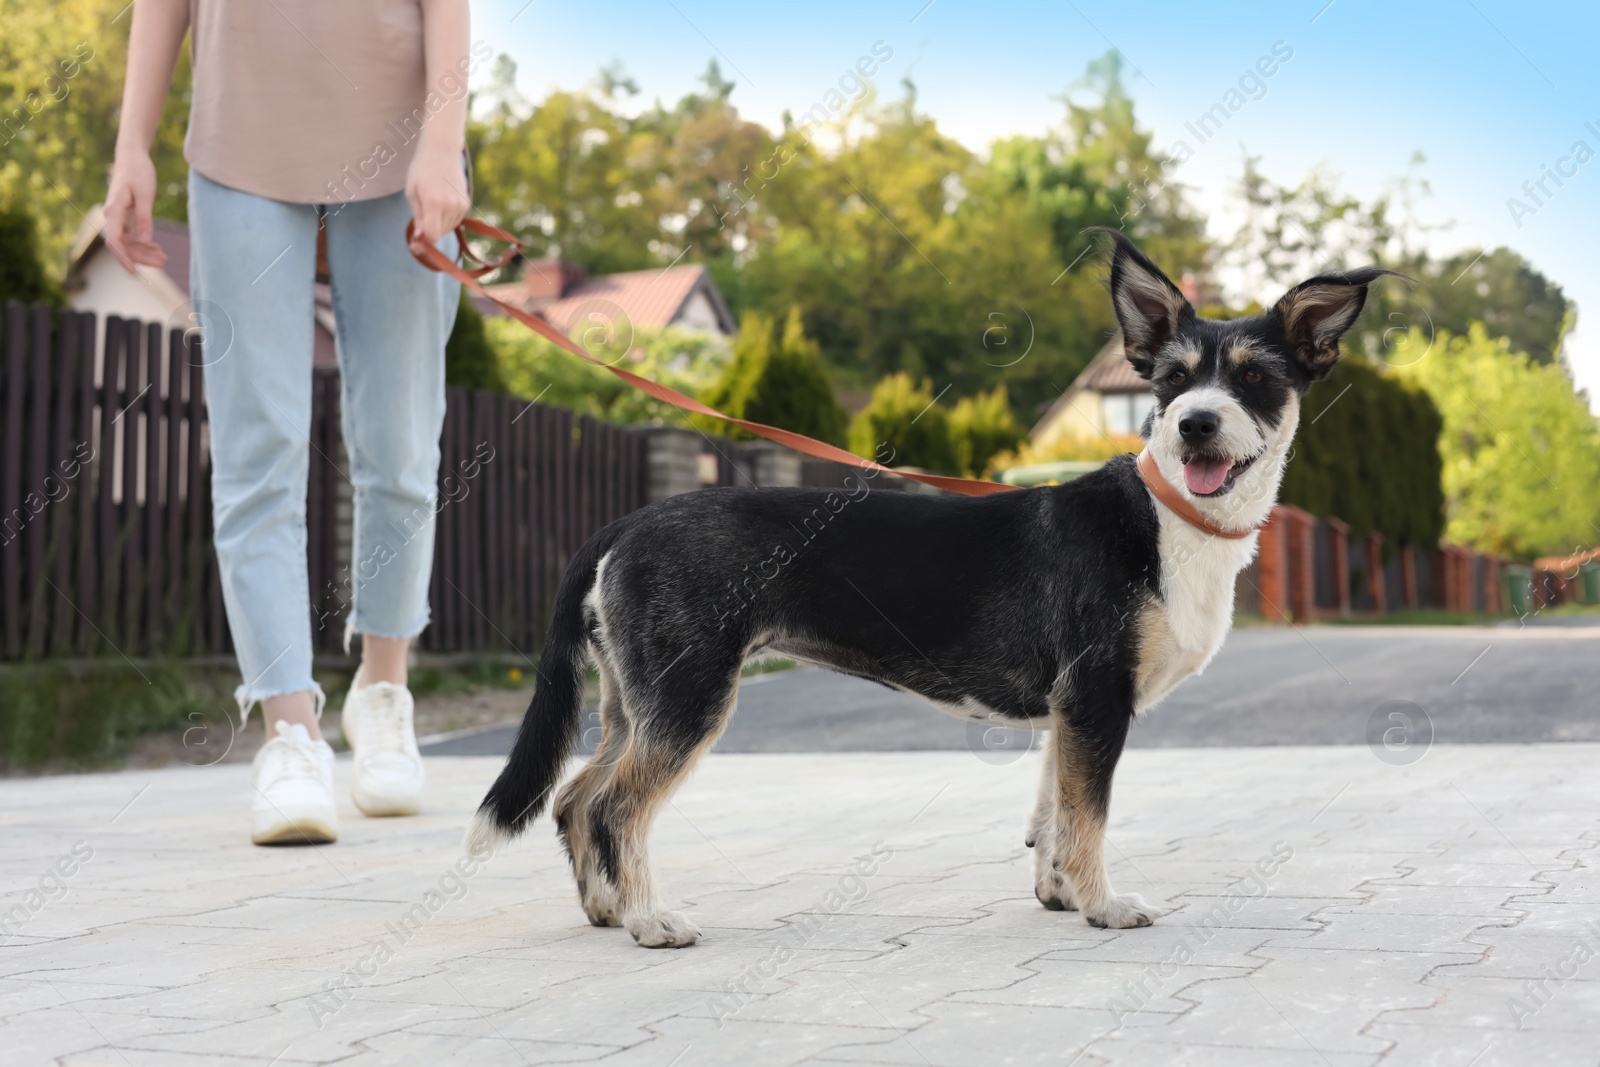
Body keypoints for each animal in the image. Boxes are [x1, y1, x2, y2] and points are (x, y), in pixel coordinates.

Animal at [467, 230, 1388, 947]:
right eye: (1170, 379)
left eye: (1257, 378)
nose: (1196, 422)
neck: (1167, 518)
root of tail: (625, 524)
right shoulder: (1096, 696)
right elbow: (1089, 816)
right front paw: (1103, 904)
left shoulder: (1068, 711)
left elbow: (1055, 814)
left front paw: (1060, 893)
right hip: (687, 697)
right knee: (617, 807)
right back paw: (650, 920)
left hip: (637, 700)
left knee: (576, 799)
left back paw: (607, 911)